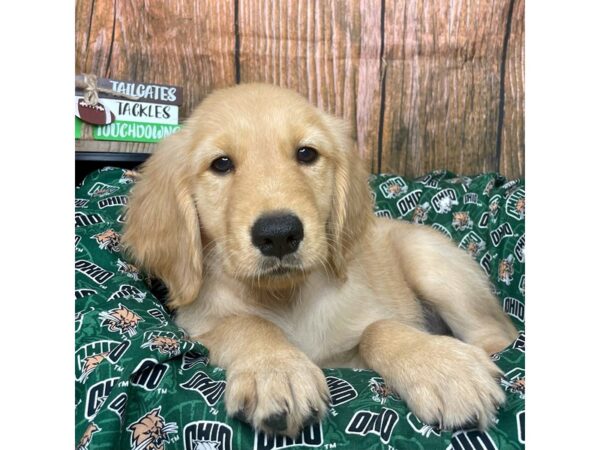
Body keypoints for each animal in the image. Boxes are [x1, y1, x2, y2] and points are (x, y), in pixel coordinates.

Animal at [122, 82, 516, 438]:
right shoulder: (197, 329)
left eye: (306, 154)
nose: (279, 233)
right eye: (221, 164)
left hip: (428, 260)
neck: (286, 298)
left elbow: (376, 329)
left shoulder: (348, 358)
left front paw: (444, 368)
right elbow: (245, 323)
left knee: (500, 334)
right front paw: (276, 370)